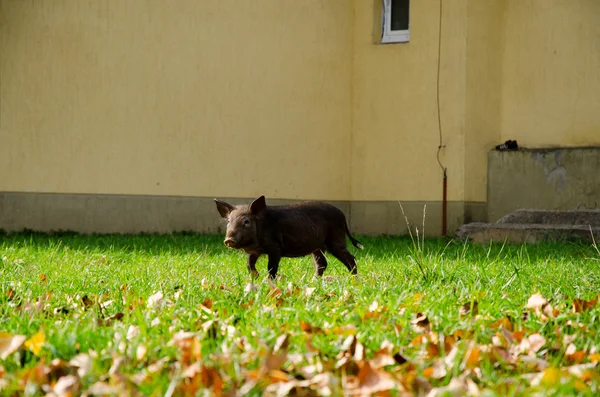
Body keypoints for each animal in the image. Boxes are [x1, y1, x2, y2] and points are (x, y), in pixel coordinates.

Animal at [216, 195, 366, 278]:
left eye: (246, 222)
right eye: (229, 221)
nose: (228, 240)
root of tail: (342, 215)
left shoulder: (275, 248)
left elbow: (271, 267)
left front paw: (269, 282)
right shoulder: (255, 251)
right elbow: (249, 263)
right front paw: (256, 277)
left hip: (335, 239)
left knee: (351, 258)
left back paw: (354, 280)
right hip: (317, 247)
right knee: (322, 263)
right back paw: (313, 281)